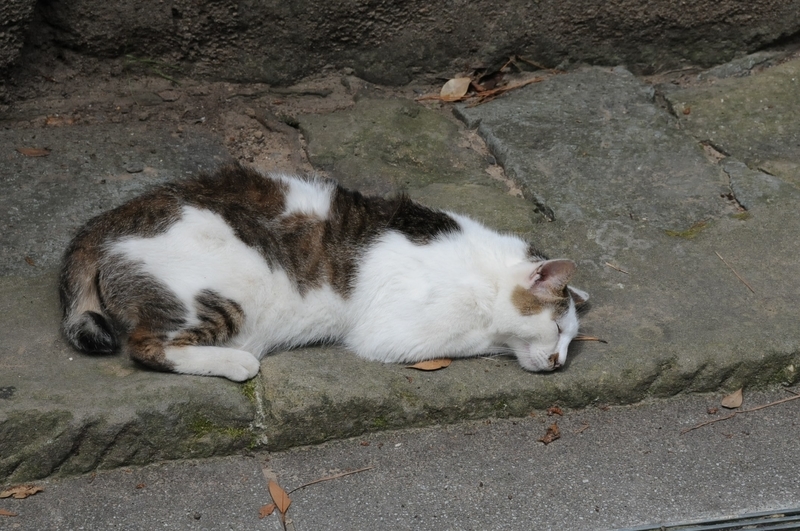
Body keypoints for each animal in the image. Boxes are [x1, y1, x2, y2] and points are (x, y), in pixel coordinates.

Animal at [59, 164, 588, 380]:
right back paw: (236, 363)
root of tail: (106, 221)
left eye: (569, 340)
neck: (487, 273)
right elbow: (474, 339)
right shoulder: (392, 333)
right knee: (145, 347)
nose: (560, 362)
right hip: (227, 295)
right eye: (558, 329)